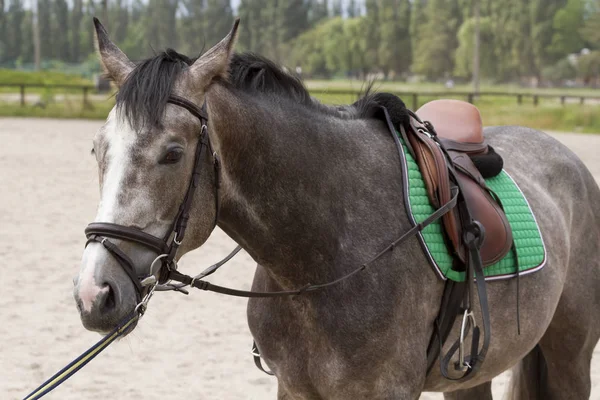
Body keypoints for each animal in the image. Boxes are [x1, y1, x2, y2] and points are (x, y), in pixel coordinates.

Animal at [74, 19, 600, 400]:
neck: (323, 255)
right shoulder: (294, 389)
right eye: (97, 149)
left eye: (173, 153)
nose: (94, 294)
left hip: (570, 357)